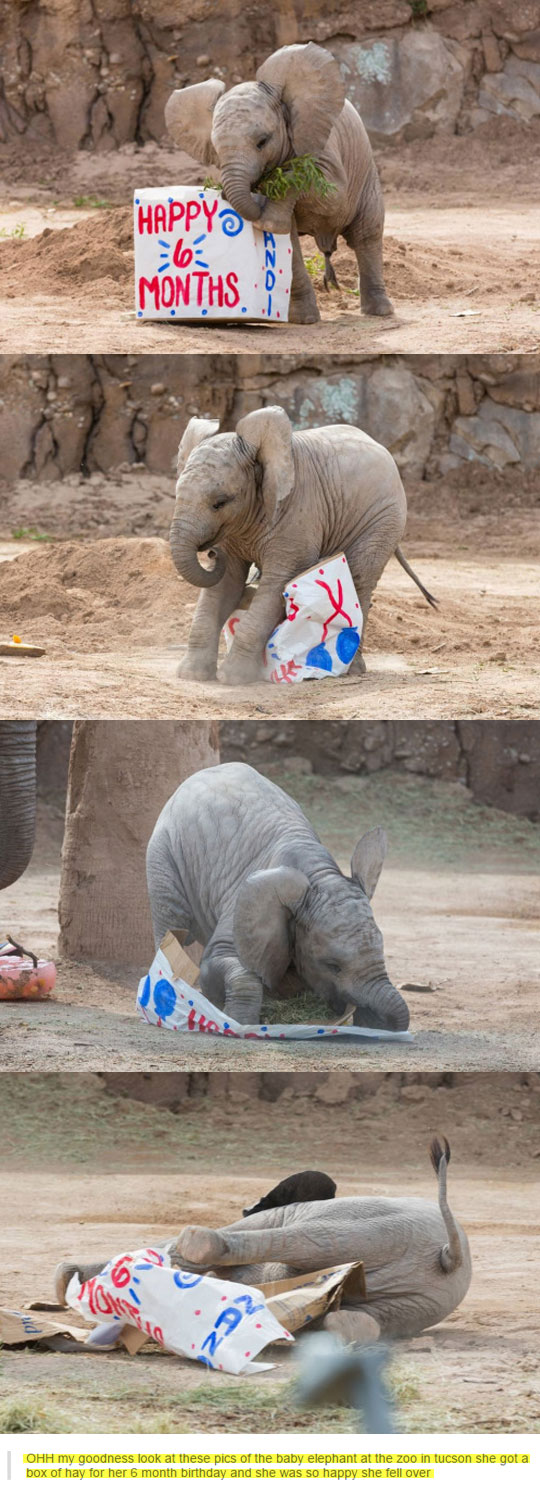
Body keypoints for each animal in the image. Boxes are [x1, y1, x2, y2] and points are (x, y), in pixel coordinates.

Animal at [145, 762, 408, 1032]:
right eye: (332, 966)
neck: (320, 875)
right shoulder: (242, 905)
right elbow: (218, 964)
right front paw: (239, 1024)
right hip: (162, 852)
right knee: (173, 926)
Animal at [165, 39, 393, 324]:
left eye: (262, 142)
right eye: (215, 150)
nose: (251, 193)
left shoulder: (318, 137)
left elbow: (332, 196)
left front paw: (269, 220)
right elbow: (288, 243)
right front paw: (303, 320)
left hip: (366, 176)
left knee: (366, 235)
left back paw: (380, 312)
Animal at [171, 402, 438, 684]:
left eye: (220, 503)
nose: (211, 554)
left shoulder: (297, 516)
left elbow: (275, 585)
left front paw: (234, 678)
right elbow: (224, 586)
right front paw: (192, 675)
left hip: (384, 519)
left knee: (361, 579)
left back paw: (352, 669)